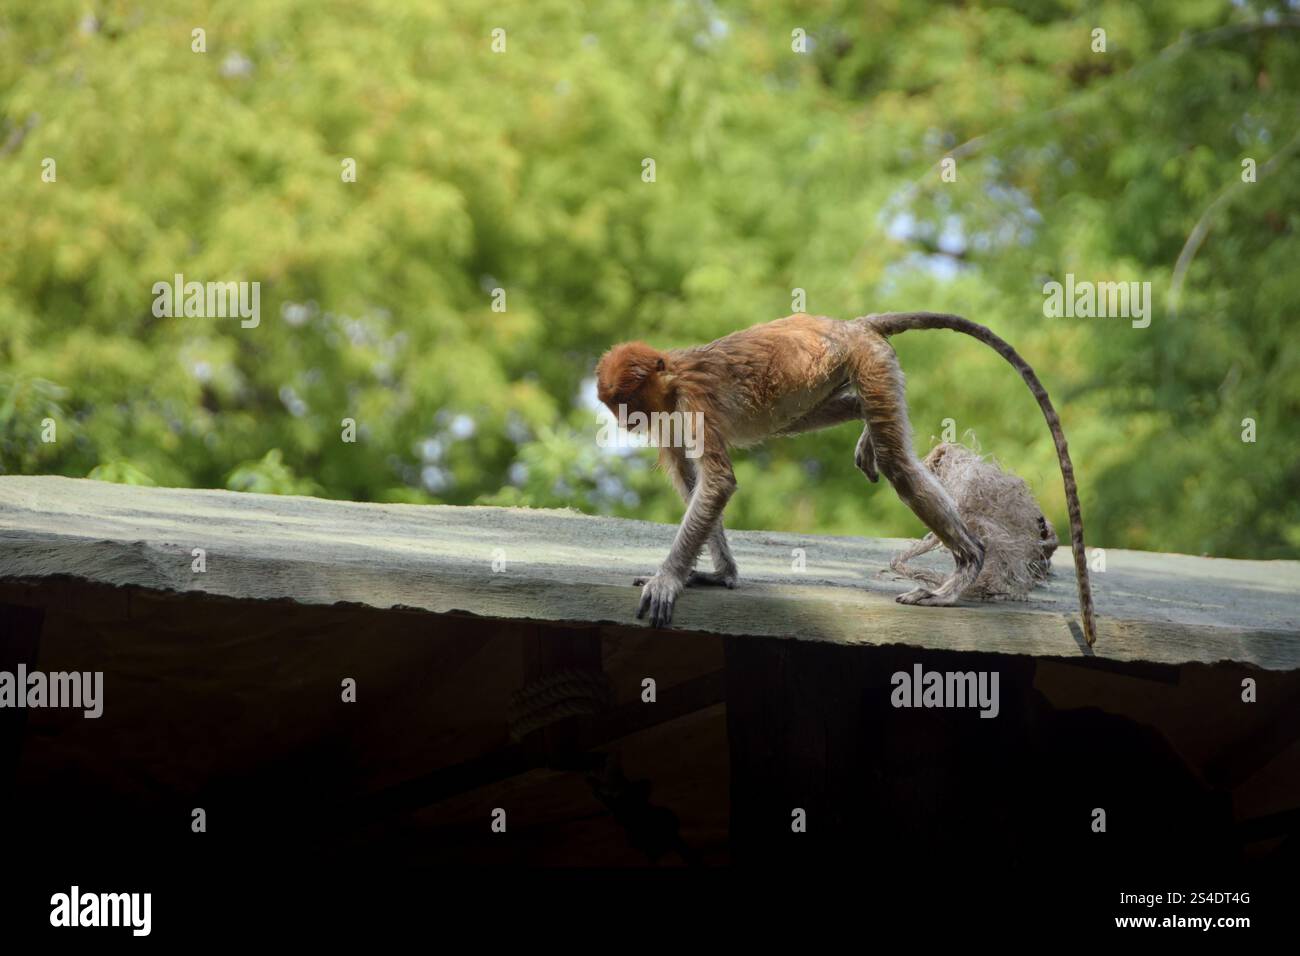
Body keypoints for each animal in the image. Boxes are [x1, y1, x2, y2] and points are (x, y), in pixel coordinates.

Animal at [594, 312, 1097, 646]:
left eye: (630, 401)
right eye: (616, 405)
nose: (627, 421)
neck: (673, 379)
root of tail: (849, 324)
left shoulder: (693, 403)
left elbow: (716, 482)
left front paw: (668, 580)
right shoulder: (672, 421)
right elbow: (688, 478)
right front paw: (720, 576)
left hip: (871, 362)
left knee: (899, 465)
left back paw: (966, 566)